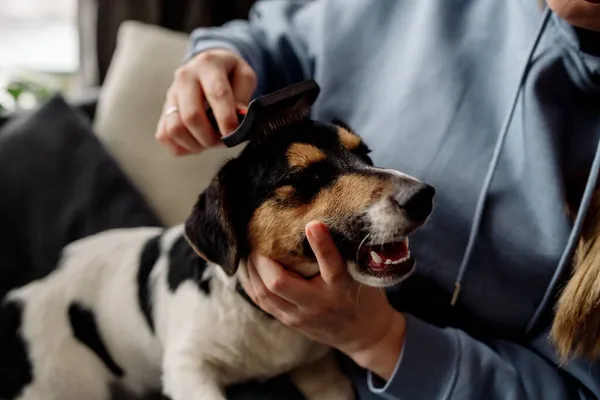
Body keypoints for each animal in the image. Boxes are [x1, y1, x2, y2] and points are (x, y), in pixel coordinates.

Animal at [0, 119, 432, 400]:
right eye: (306, 177)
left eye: (365, 154)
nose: (424, 196)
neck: (265, 321)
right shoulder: (188, 368)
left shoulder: (320, 372)